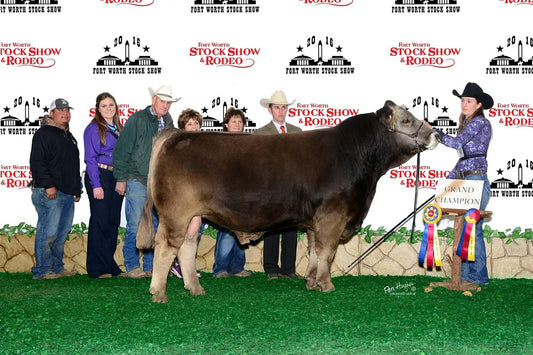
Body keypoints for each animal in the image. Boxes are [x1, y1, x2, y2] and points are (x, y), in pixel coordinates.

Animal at [136, 100, 436, 304]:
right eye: (407, 120)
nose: (436, 135)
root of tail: (178, 134)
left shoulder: (317, 221)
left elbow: (315, 252)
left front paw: (312, 282)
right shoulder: (333, 216)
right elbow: (328, 252)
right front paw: (327, 285)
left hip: (194, 216)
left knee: (186, 247)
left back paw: (196, 289)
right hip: (176, 213)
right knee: (166, 248)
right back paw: (158, 292)